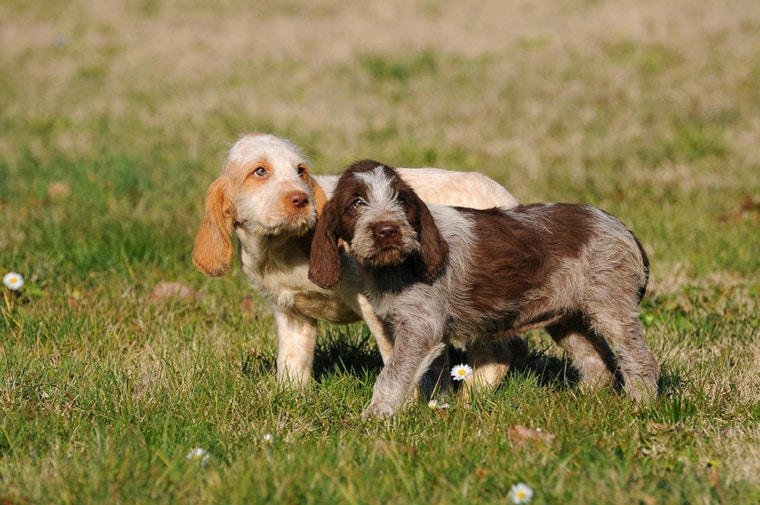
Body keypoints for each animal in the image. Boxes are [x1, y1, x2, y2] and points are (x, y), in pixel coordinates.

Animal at [193, 134, 520, 386]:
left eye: (301, 172)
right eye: (259, 172)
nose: (301, 199)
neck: (280, 249)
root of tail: (509, 202)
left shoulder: (377, 306)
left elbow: (396, 358)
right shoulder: (291, 313)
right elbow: (291, 363)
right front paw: (290, 400)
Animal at [308, 160, 660, 418]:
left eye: (402, 200)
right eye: (356, 203)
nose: (387, 230)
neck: (395, 267)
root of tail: (623, 229)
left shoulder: (421, 327)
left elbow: (392, 375)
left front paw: (373, 418)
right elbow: (428, 374)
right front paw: (435, 407)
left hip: (611, 307)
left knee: (639, 359)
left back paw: (640, 405)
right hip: (566, 318)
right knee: (596, 363)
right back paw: (582, 402)